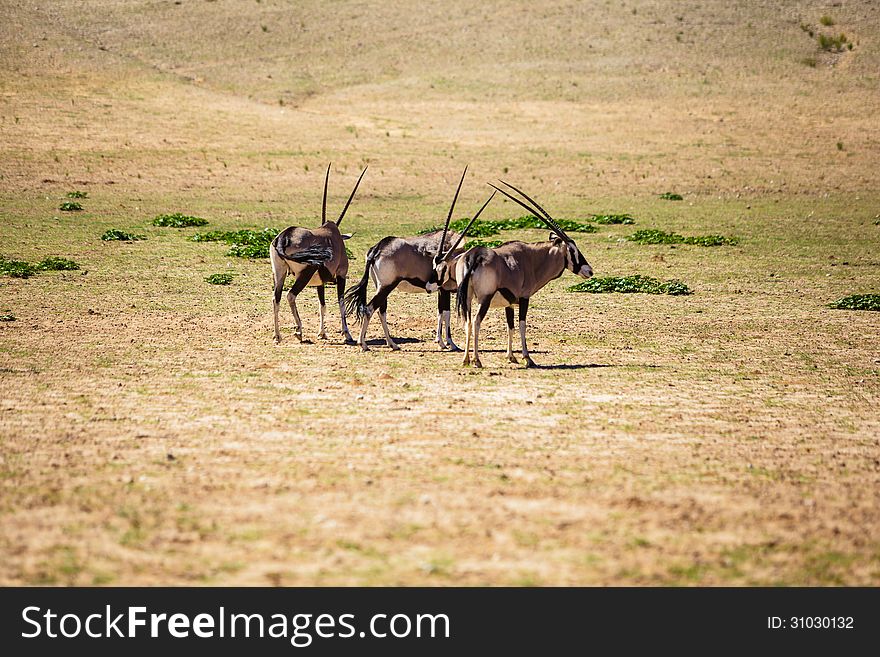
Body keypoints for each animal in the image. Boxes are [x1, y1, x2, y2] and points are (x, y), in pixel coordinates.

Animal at [268, 163, 364, 344]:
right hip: (304, 273)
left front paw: (322, 333)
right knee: (291, 295)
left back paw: (277, 336)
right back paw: (298, 331)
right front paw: (347, 333)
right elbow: (340, 301)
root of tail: (285, 237)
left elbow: (322, 305)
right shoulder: (341, 274)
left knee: (276, 298)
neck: (333, 233)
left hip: (279, 272)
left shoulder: (320, 282)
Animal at [344, 169, 496, 354]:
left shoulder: (440, 290)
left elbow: (440, 313)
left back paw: (392, 344)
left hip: (381, 286)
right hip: (387, 285)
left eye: (441, 268)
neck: (456, 256)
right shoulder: (444, 290)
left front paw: (441, 342)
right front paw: (449, 343)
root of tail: (377, 248)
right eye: (436, 267)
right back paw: (363, 344)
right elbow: (446, 313)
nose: (429, 287)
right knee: (369, 309)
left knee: (381, 311)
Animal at [434, 179, 592, 366]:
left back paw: (466, 359)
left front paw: (511, 356)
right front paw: (527, 358)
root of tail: (474, 256)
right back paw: (477, 360)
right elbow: (522, 325)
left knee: (468, 322)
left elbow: (510, 326)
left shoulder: (508, 303)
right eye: (573, 250)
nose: (589, 271)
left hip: (466, 296)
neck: (531, 258)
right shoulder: (524, 298)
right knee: (477, 321)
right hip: (484, 298)